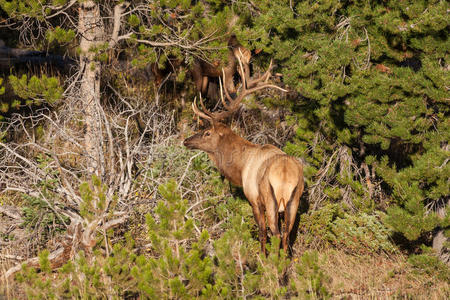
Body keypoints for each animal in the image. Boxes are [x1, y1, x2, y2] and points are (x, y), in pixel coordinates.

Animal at [184, 57, 306, 252]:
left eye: (207, 133)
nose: (186, 141)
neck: (241, 168)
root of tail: (286, 175)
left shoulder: (254, 199)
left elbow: (262, 233)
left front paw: (261, 255)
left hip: (271, 199)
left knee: (276, 234)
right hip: (294, 201)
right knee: (287, 235)